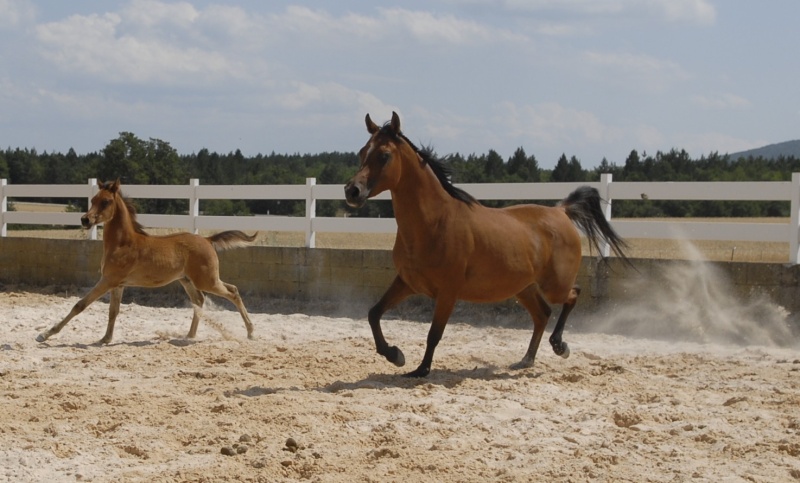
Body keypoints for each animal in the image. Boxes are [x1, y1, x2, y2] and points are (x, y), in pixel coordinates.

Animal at [37, 181, 256, 344]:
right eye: (93, 199)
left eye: (106, 201)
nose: (85, 220)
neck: (123, 243)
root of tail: (208, 240)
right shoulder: (118, 284)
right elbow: (113, 311)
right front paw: (105, 339)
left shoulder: (107, 280)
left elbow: (80, 305)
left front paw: (45, 334)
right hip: (187, 280)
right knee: (202, 299)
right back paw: (189, 336)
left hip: (206, 280)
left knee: (232, 293)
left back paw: (250, 332)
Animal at [344, 112, 632, 378]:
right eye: (362, 152)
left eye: (384, 155)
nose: (352, 191)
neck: (434, 222)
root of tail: (560, 211)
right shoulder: (407, 282)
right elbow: (373, 313)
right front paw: (395, 355)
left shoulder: (448, 292)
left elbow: (434, 333)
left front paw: (420, 370)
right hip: (523, 287)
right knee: (543, 314)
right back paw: (526, 360)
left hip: (554, 285)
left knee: (573, 295)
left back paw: (560, 346)